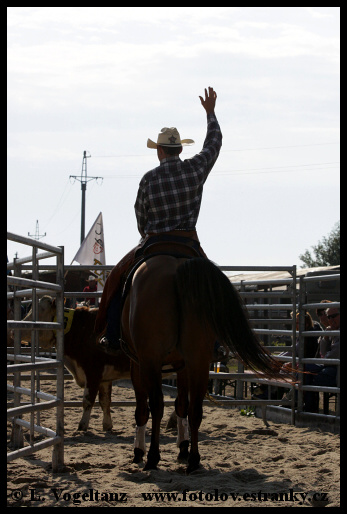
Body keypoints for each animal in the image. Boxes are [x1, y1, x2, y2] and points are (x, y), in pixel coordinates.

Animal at [121, 256, 286, 472]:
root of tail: (177, 267)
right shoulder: (183, 365)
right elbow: (181, 404)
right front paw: (183, 447)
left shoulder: (138, 362)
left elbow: (142, 408)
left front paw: (138, 451)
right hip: (197, 360)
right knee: (195, 409)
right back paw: (193, 459)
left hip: (152, 360)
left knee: (156, 405)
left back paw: (152, 457)